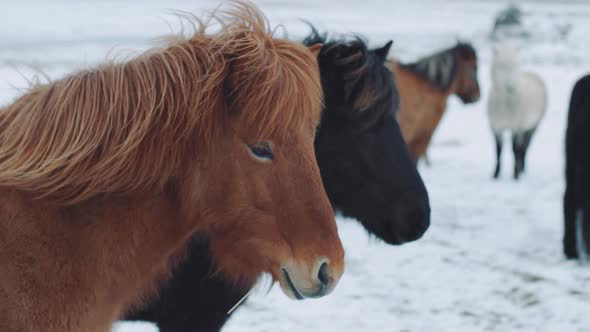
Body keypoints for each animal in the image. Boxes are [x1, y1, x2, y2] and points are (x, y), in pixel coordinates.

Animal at [488, 43, 548, 180]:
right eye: (502, 65)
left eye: (514, 65)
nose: (511, 87)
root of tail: (532, 73)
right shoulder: (495, 128)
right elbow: (498, 151)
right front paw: (495, 175)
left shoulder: (516, 127)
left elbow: (515, 149)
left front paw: (515, 175)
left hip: (533, 126)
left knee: (525, 147)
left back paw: (522, 170)